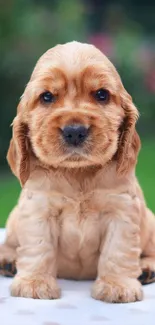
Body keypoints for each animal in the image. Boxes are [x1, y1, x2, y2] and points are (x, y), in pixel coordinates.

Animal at [0, 41, 155, 302]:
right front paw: (34, 283)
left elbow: (117, 250)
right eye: (47, 97)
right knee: (10, 242)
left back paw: (146, 269)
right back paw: (8, 260)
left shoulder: (121, 210)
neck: (78, 172)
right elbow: (38, 247)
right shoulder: (38, 209)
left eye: (101, 94)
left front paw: (117, 286)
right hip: (13, 220)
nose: (74, 131)